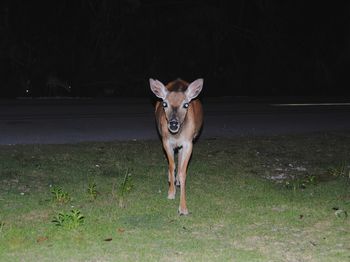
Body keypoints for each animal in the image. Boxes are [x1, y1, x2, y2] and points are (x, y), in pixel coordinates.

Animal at [149, 78, 204, 215]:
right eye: (165, 104)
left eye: (186, 104)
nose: (173, 124)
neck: (177, 135)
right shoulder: (166, 141)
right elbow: (171, 165)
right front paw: (171, 193)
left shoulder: (188, 143)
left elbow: (183, 172)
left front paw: (183, 208)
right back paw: (171, 179)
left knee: (179, 157)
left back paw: (177, 181)